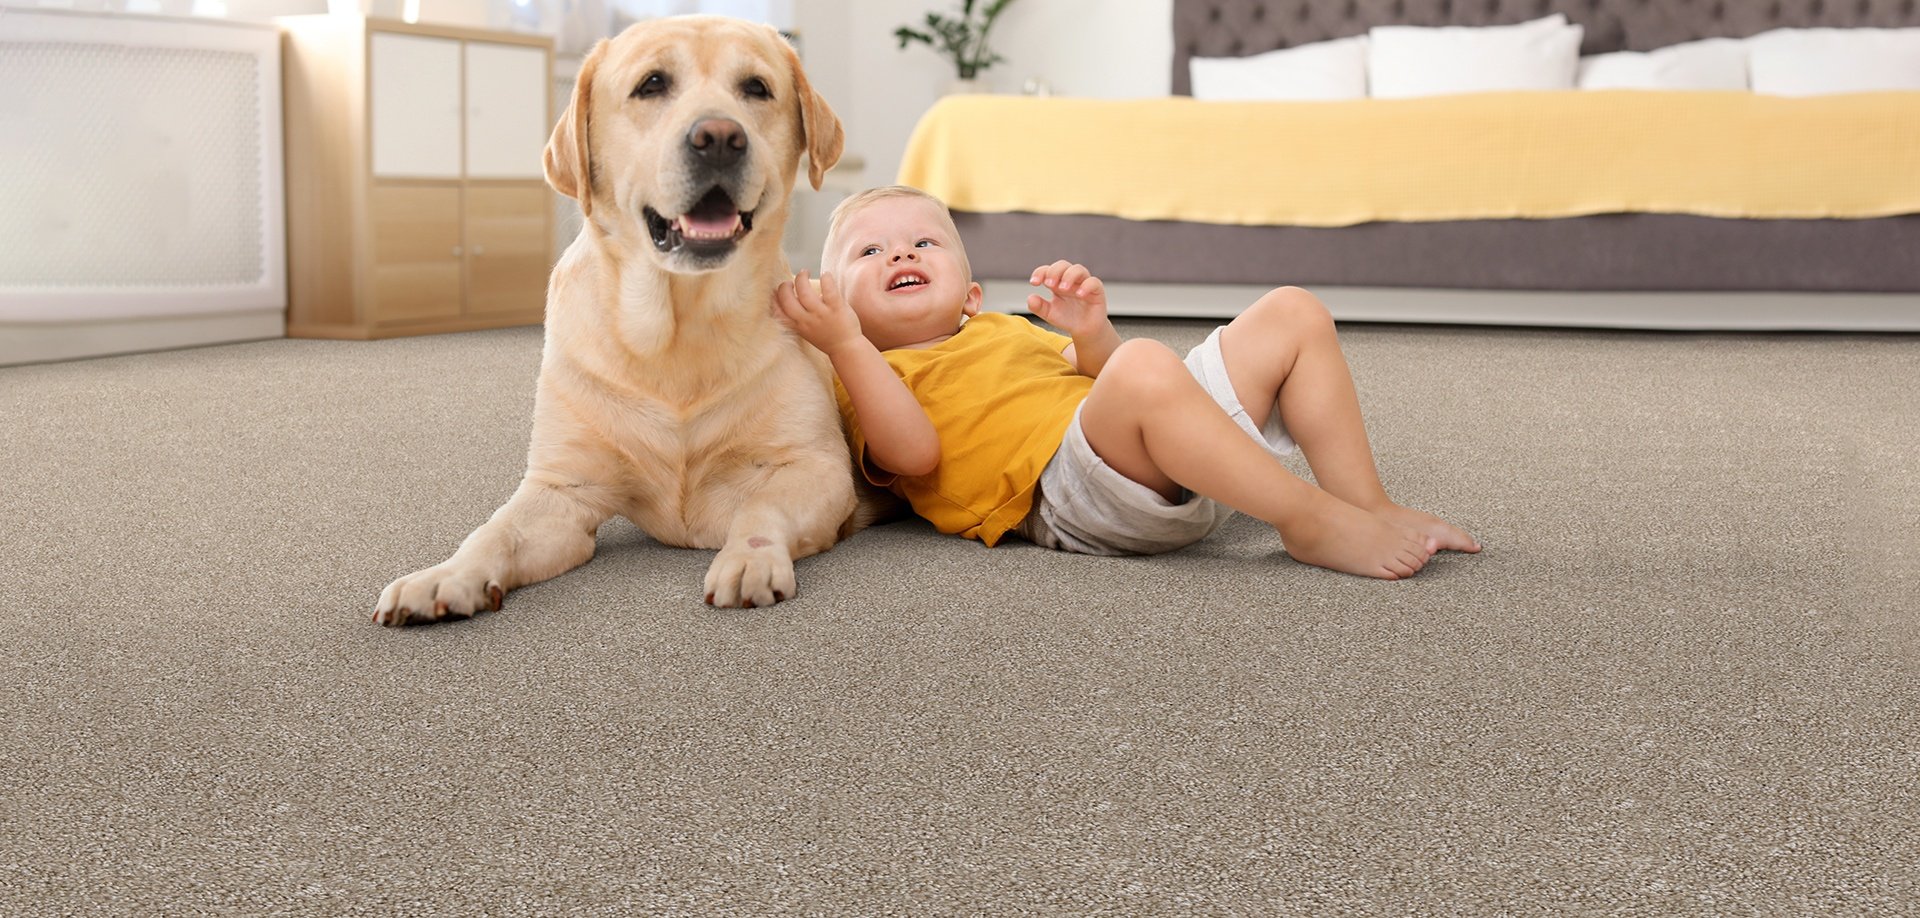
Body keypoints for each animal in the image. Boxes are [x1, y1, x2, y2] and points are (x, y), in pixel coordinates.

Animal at [372, 17, 848, 622]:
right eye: (652, 84)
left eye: (757, 88)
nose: (719, 137)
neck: (677, 326)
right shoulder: (560, 491)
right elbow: (493, 532)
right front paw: (445, 576)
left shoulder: (818, 467)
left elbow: (760, 509)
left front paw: (750, 559)